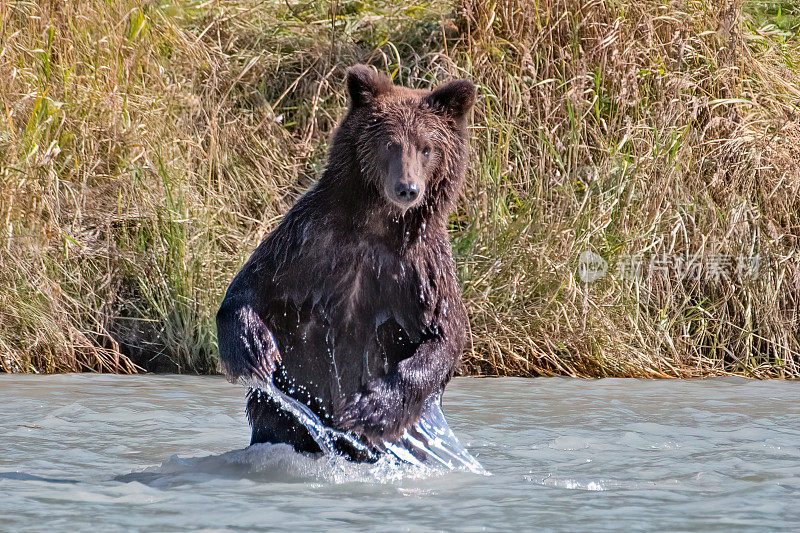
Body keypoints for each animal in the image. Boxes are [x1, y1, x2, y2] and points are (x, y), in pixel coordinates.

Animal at [216, 64, 476, 460]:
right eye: (389, 143)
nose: (407, 188)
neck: (377, 223)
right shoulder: (306, 243)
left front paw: (372, 408)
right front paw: (255, 348)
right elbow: (250, 287)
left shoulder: (421, 271)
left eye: (427, 147)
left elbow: (443, 337)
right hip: (281, 420)